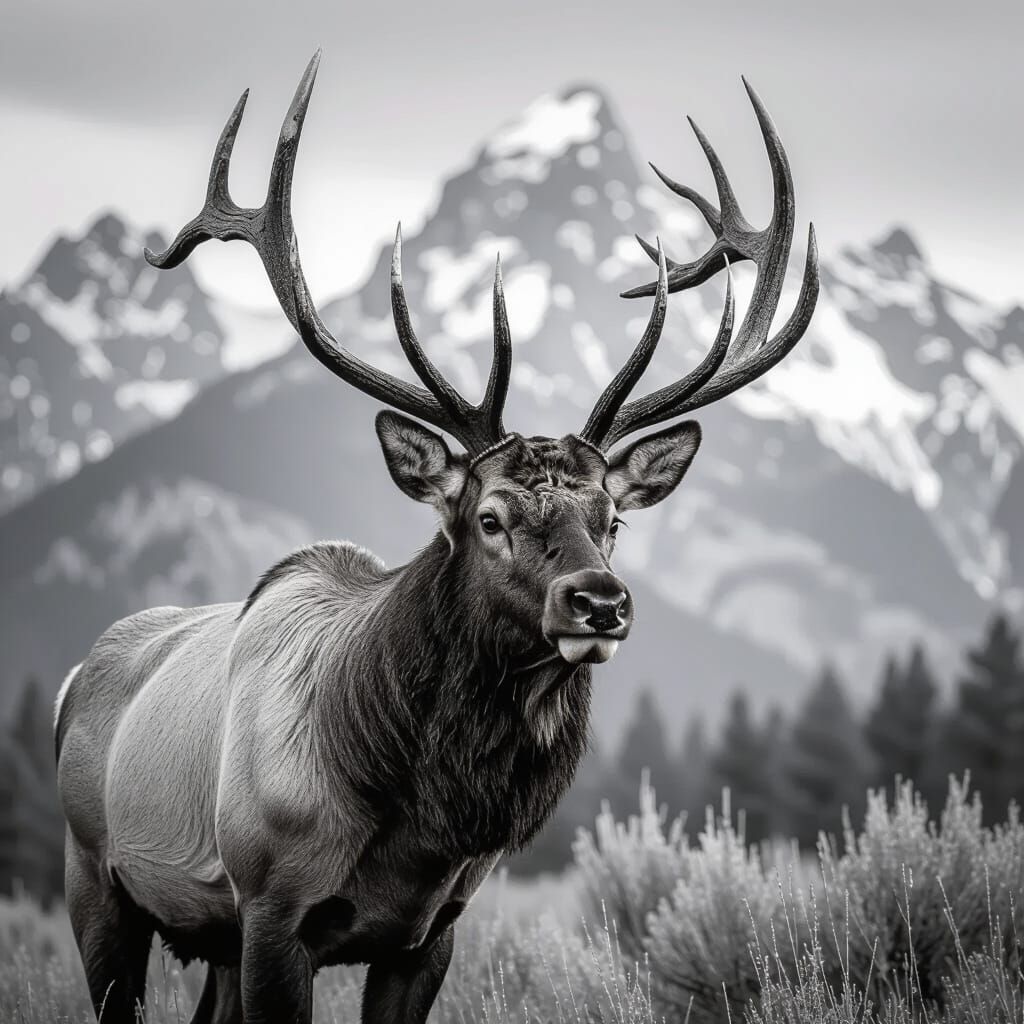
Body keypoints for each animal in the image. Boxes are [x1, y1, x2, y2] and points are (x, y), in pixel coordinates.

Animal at [54, 51, 817, 1024]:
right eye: (488, 518)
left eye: (612, 522)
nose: (600, 602)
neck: (415, 824)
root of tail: (77, 673)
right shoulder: (269, 907)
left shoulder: (432, 929)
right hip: (97, 881)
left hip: (205, 939)